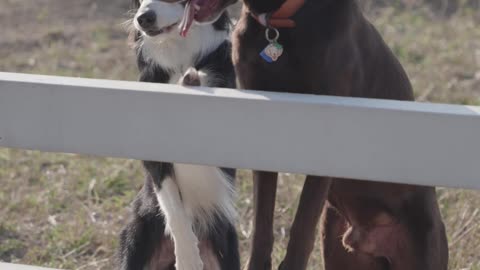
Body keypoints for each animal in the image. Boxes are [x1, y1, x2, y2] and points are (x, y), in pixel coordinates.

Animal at [118, 1, 240, 268]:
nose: (143, 19)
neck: (178, 52)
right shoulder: (154, 156)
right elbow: (173, 207)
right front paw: (187, 258)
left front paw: (193, 80)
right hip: (135, 235)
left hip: (226, 243)